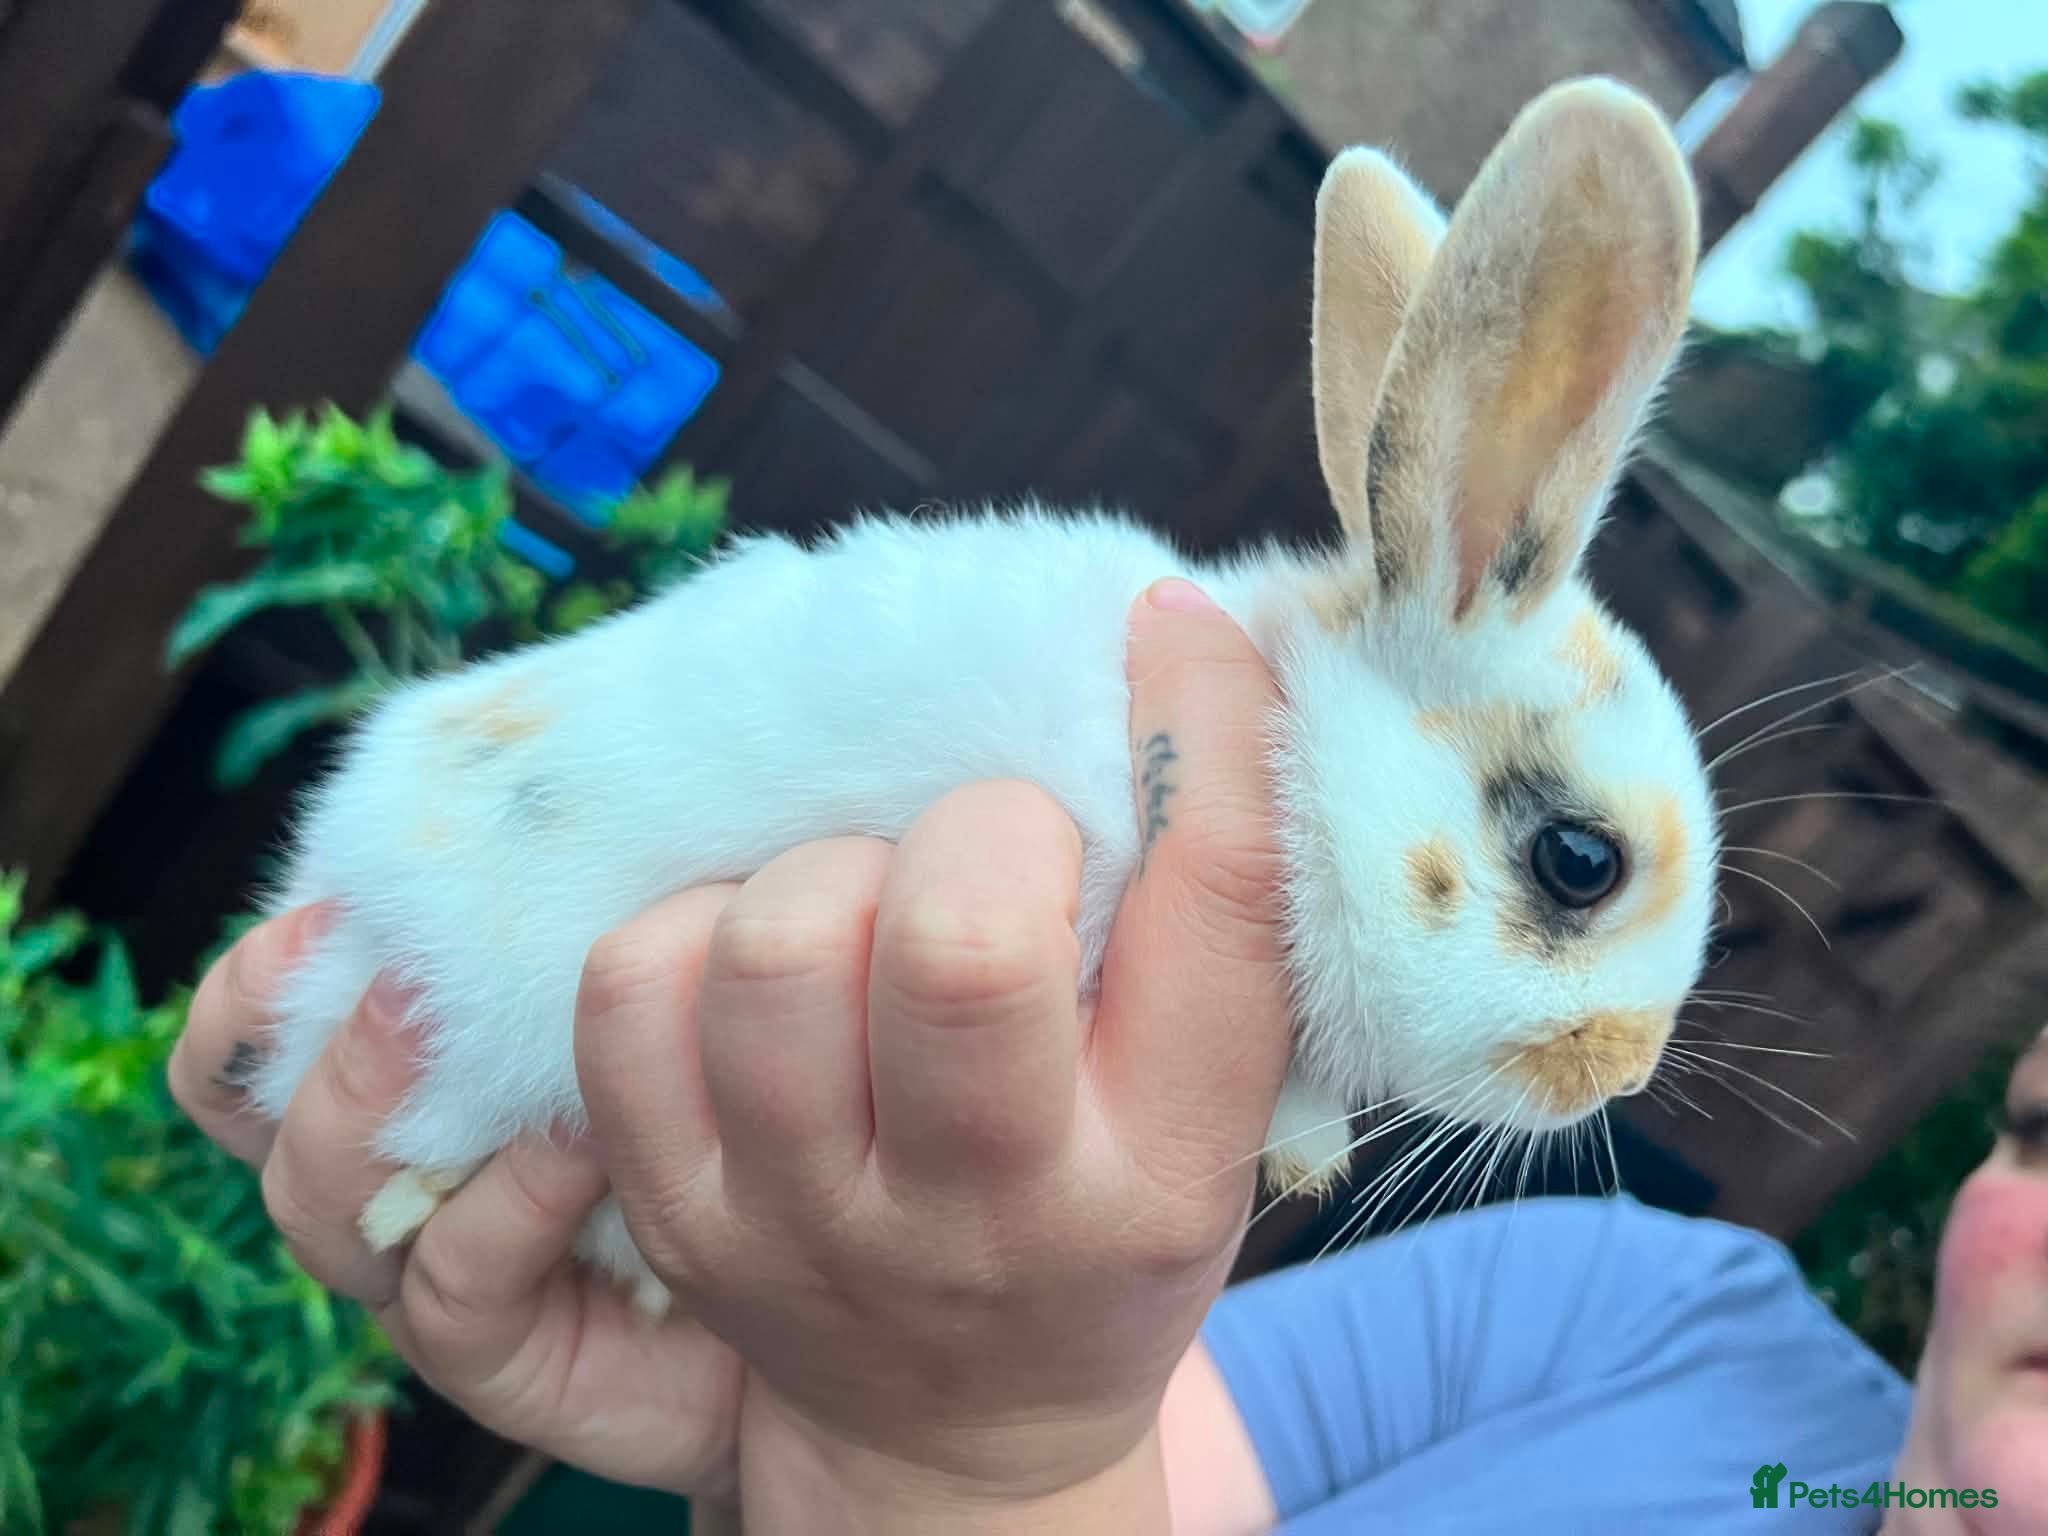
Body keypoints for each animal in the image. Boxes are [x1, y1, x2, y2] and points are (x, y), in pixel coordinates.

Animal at [244, 76, 1720, 1315]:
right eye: (1580, 861)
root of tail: (343, 882)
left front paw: (1303, 1149)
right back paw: (400, 1206)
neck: (1298, 751)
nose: (1623, 1068)